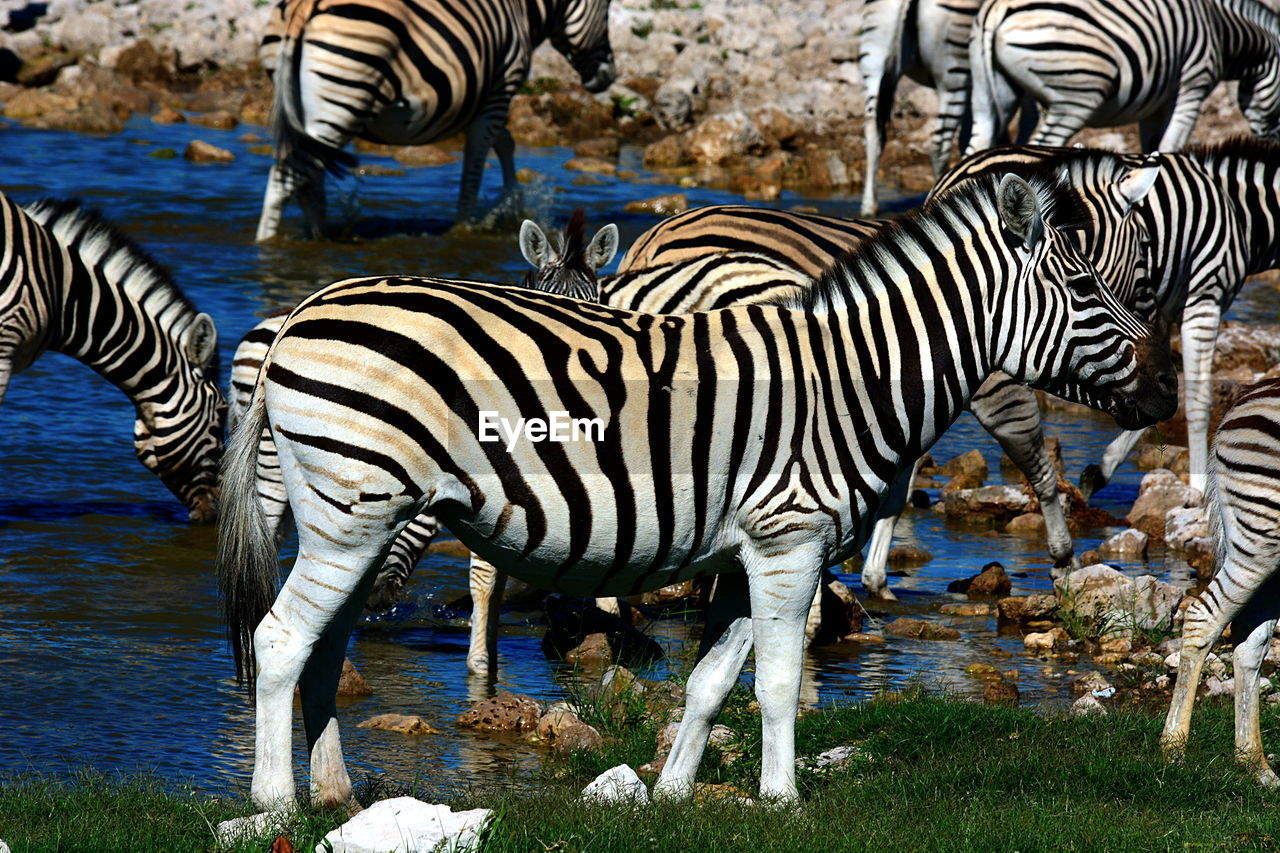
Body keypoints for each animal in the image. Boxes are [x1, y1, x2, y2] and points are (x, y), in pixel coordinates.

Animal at [217, 171, 1177, 804]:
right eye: (1085, 286)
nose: (1169, 391)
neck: (852, 378)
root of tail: (303, 312)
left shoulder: (754, 549)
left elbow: (714, 680)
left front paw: (677, 793)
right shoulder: (791, 541)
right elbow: (779, 682)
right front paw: (784, 801)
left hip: (359, 520)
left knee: (323, 648)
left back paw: (335, 793)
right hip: (351, 514)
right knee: (280, 640)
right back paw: (274, 802)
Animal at [254, 0, 614, 239]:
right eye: (608, 8)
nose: (609, 74)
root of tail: (305, 8)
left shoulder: (481, 99)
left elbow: (505, 142)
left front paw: (515, 202)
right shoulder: (500, 88)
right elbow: (474, 169)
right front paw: (467, 225)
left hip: (306, 109)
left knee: (308, 183)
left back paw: (319, 235)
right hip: (342, 101)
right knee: (285, 180)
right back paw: (265, 244)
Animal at [967, 0, 1280, 156]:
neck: (1223, 30)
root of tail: (996, 10)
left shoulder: (1156, 106)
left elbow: (1152, 145)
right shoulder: (1194, 83)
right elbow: (1171, 145)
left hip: (988, 93)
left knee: (978, 142)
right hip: (1077, 94)